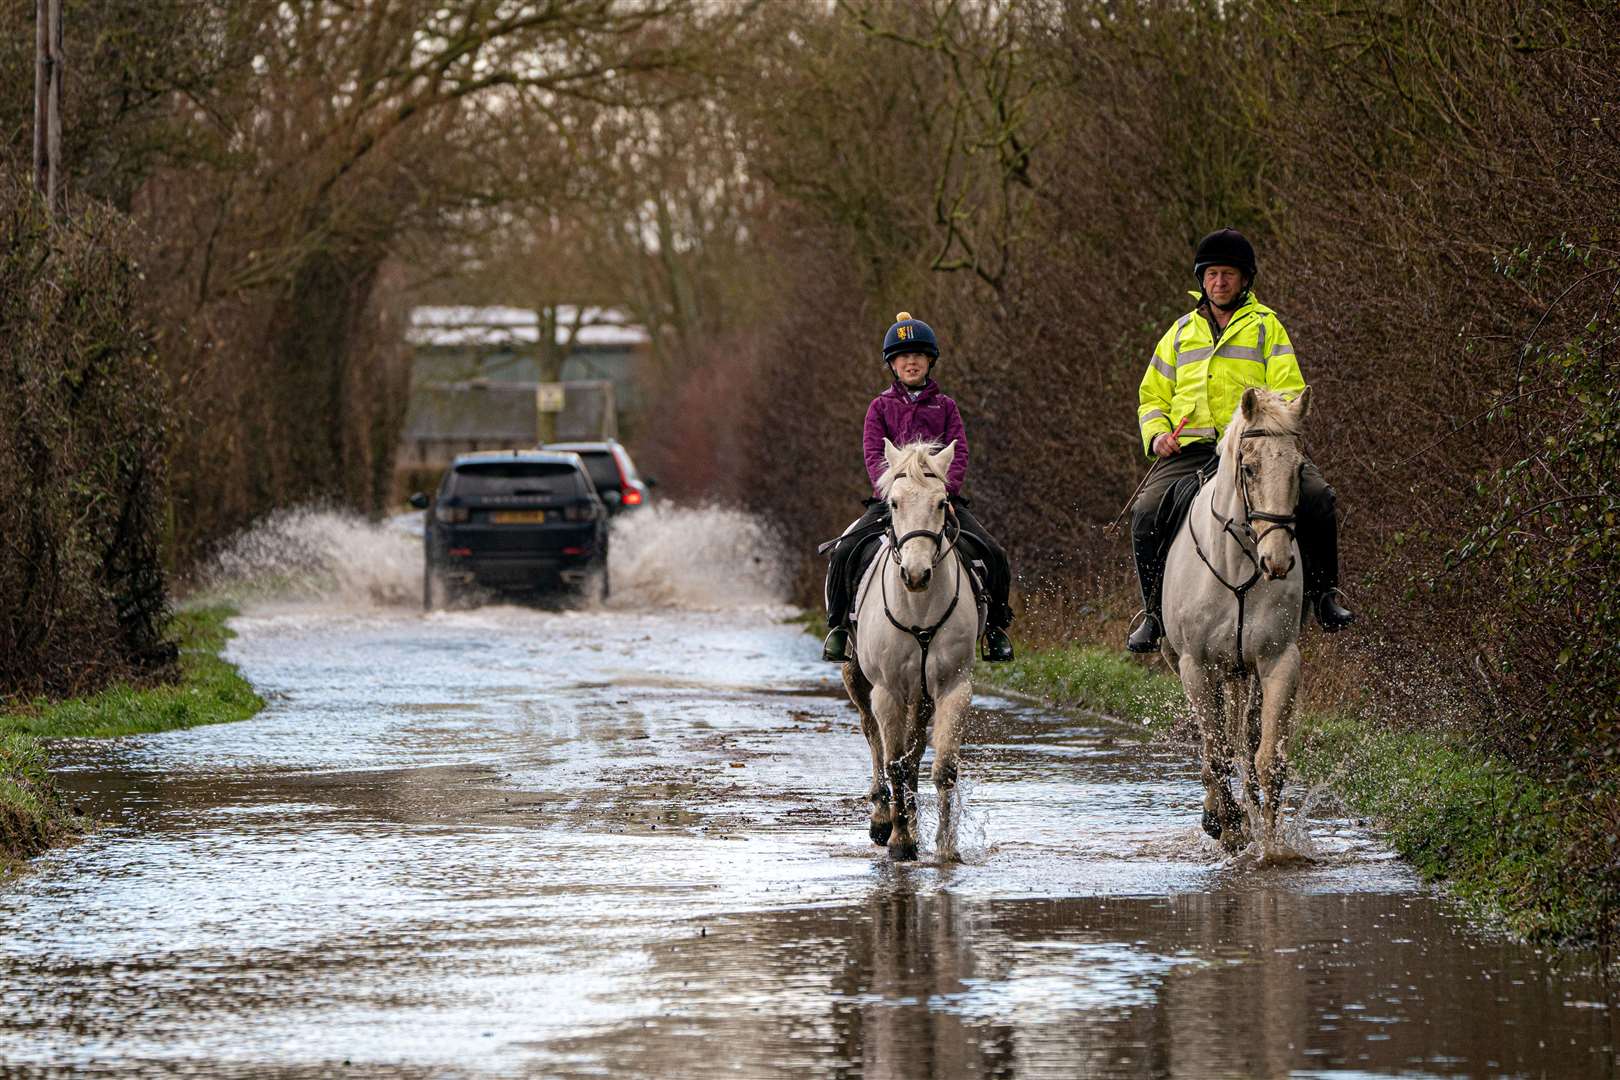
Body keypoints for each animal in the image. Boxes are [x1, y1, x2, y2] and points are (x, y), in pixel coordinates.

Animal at [842, 440, 978, 861]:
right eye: (895, 503)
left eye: (941, 502)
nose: (916, 575)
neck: (919, 606)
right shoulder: (887, 691)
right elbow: (894, 764)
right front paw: (900, 840)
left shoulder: (953, 687)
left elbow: (943, 767)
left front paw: (946, 847)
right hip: (858, 678)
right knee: (874, 738)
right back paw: (882, 817)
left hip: (921, 696)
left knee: (914, 755)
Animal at [1159, 388, 1308, 854]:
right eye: (1249, 467)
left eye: (1299, 467)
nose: (1277, 561)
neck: (1240, 563)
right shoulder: (1196, 666)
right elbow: (1216, 753)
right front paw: (1230, 827)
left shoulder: (1279, 662)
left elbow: (1267, 758)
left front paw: (1271, 847)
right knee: (1217, 745)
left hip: (1244, 672)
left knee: (1245, 737)